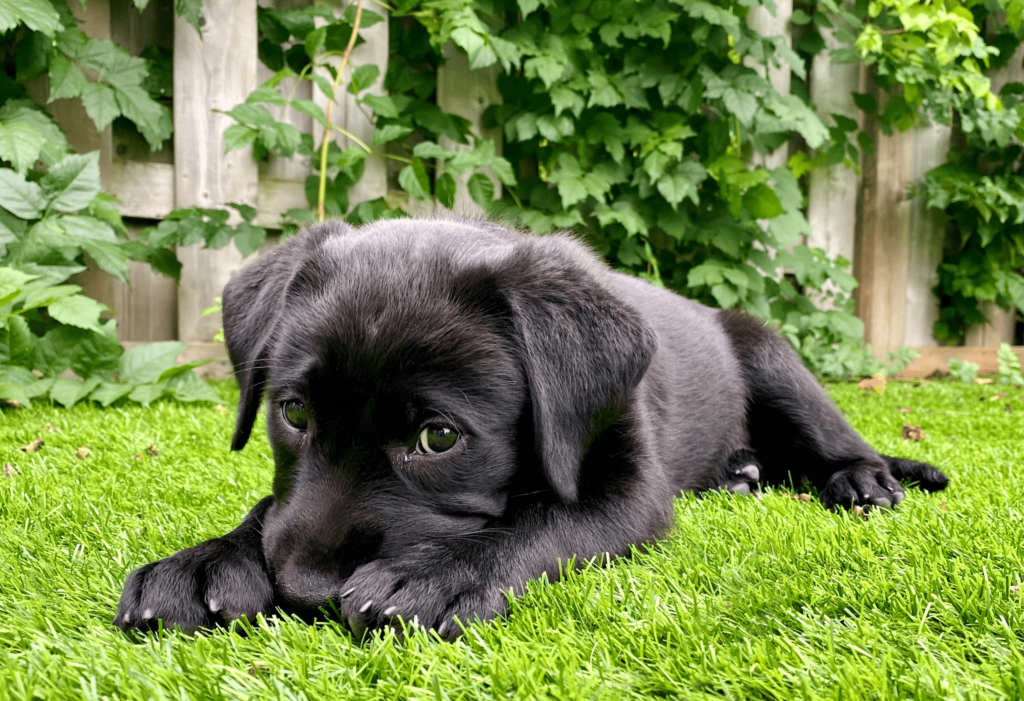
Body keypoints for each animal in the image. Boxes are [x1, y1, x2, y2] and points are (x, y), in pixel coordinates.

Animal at [112, 216, 942, 634]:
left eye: (439, 437)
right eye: (293, 412)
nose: (302, 589)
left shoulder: (626, 489)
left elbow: (543, 521)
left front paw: (438, 573)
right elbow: (267, 507)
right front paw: (205, 560)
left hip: (772, 358)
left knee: (836, 440)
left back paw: (864, 478)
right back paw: (742, 475)